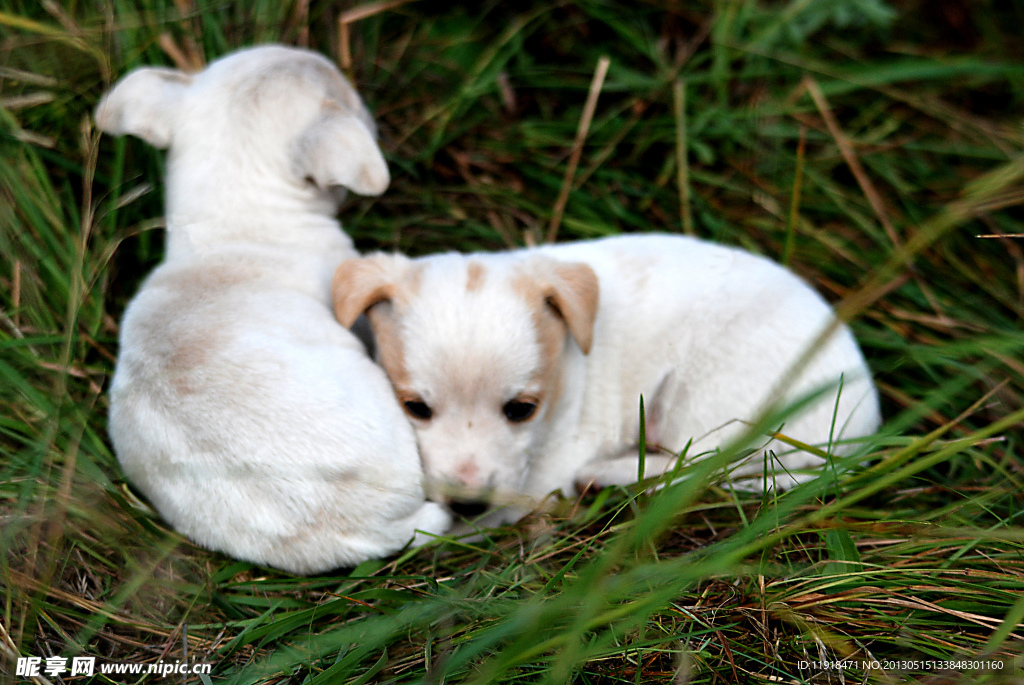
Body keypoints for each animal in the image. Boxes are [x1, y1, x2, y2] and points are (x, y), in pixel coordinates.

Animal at [333, 232, 880, 516]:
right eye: (415, 408)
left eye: (522, 410)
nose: (468, 505)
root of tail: (862, 430)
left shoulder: (544, 475)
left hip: (712, 399)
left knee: (703, 466)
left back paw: (610, 475)